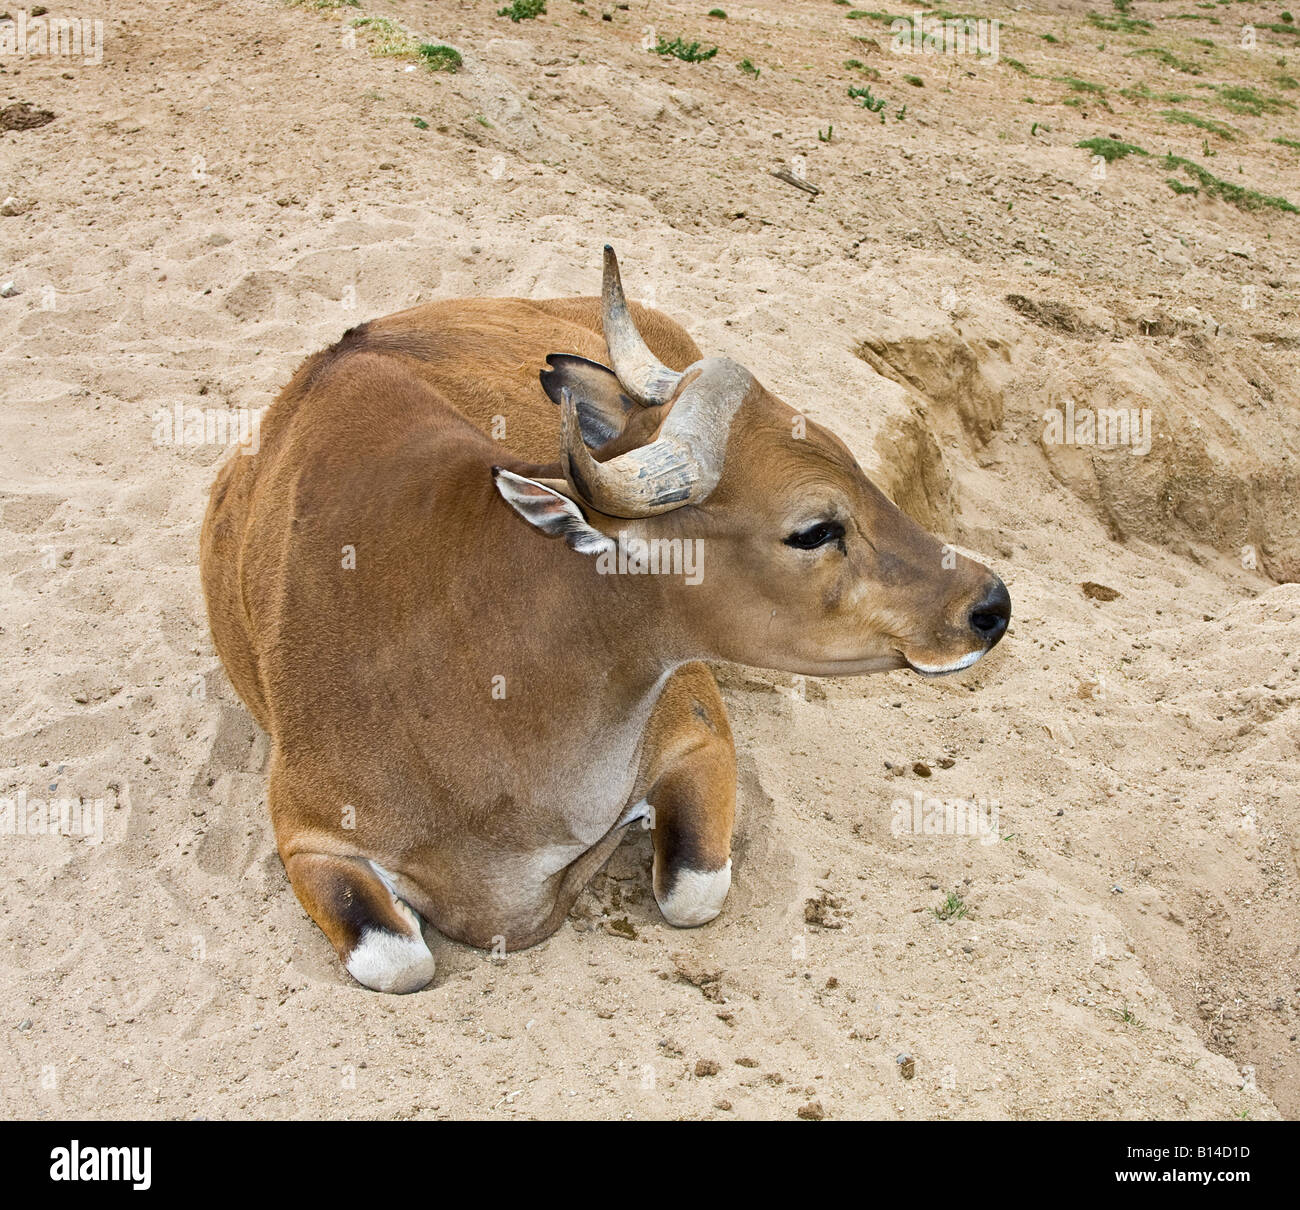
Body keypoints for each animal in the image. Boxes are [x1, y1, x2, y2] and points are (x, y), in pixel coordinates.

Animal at [199, 247, 1010, 993]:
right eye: (814, 529)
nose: (990, 604)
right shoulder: (306, 835)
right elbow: (396, 959)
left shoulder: (696, 727)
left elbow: (692, 889)